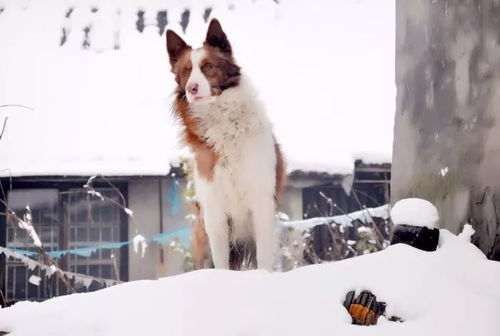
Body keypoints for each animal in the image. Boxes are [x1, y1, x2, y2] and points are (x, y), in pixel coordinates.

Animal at [166, 18, 286, 270]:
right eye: (185, 71)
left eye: (208, 67)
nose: (191, 88)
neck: (223, 123)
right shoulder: (214, 213)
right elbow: (220, 263)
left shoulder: (261, 202)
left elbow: (263, 259)